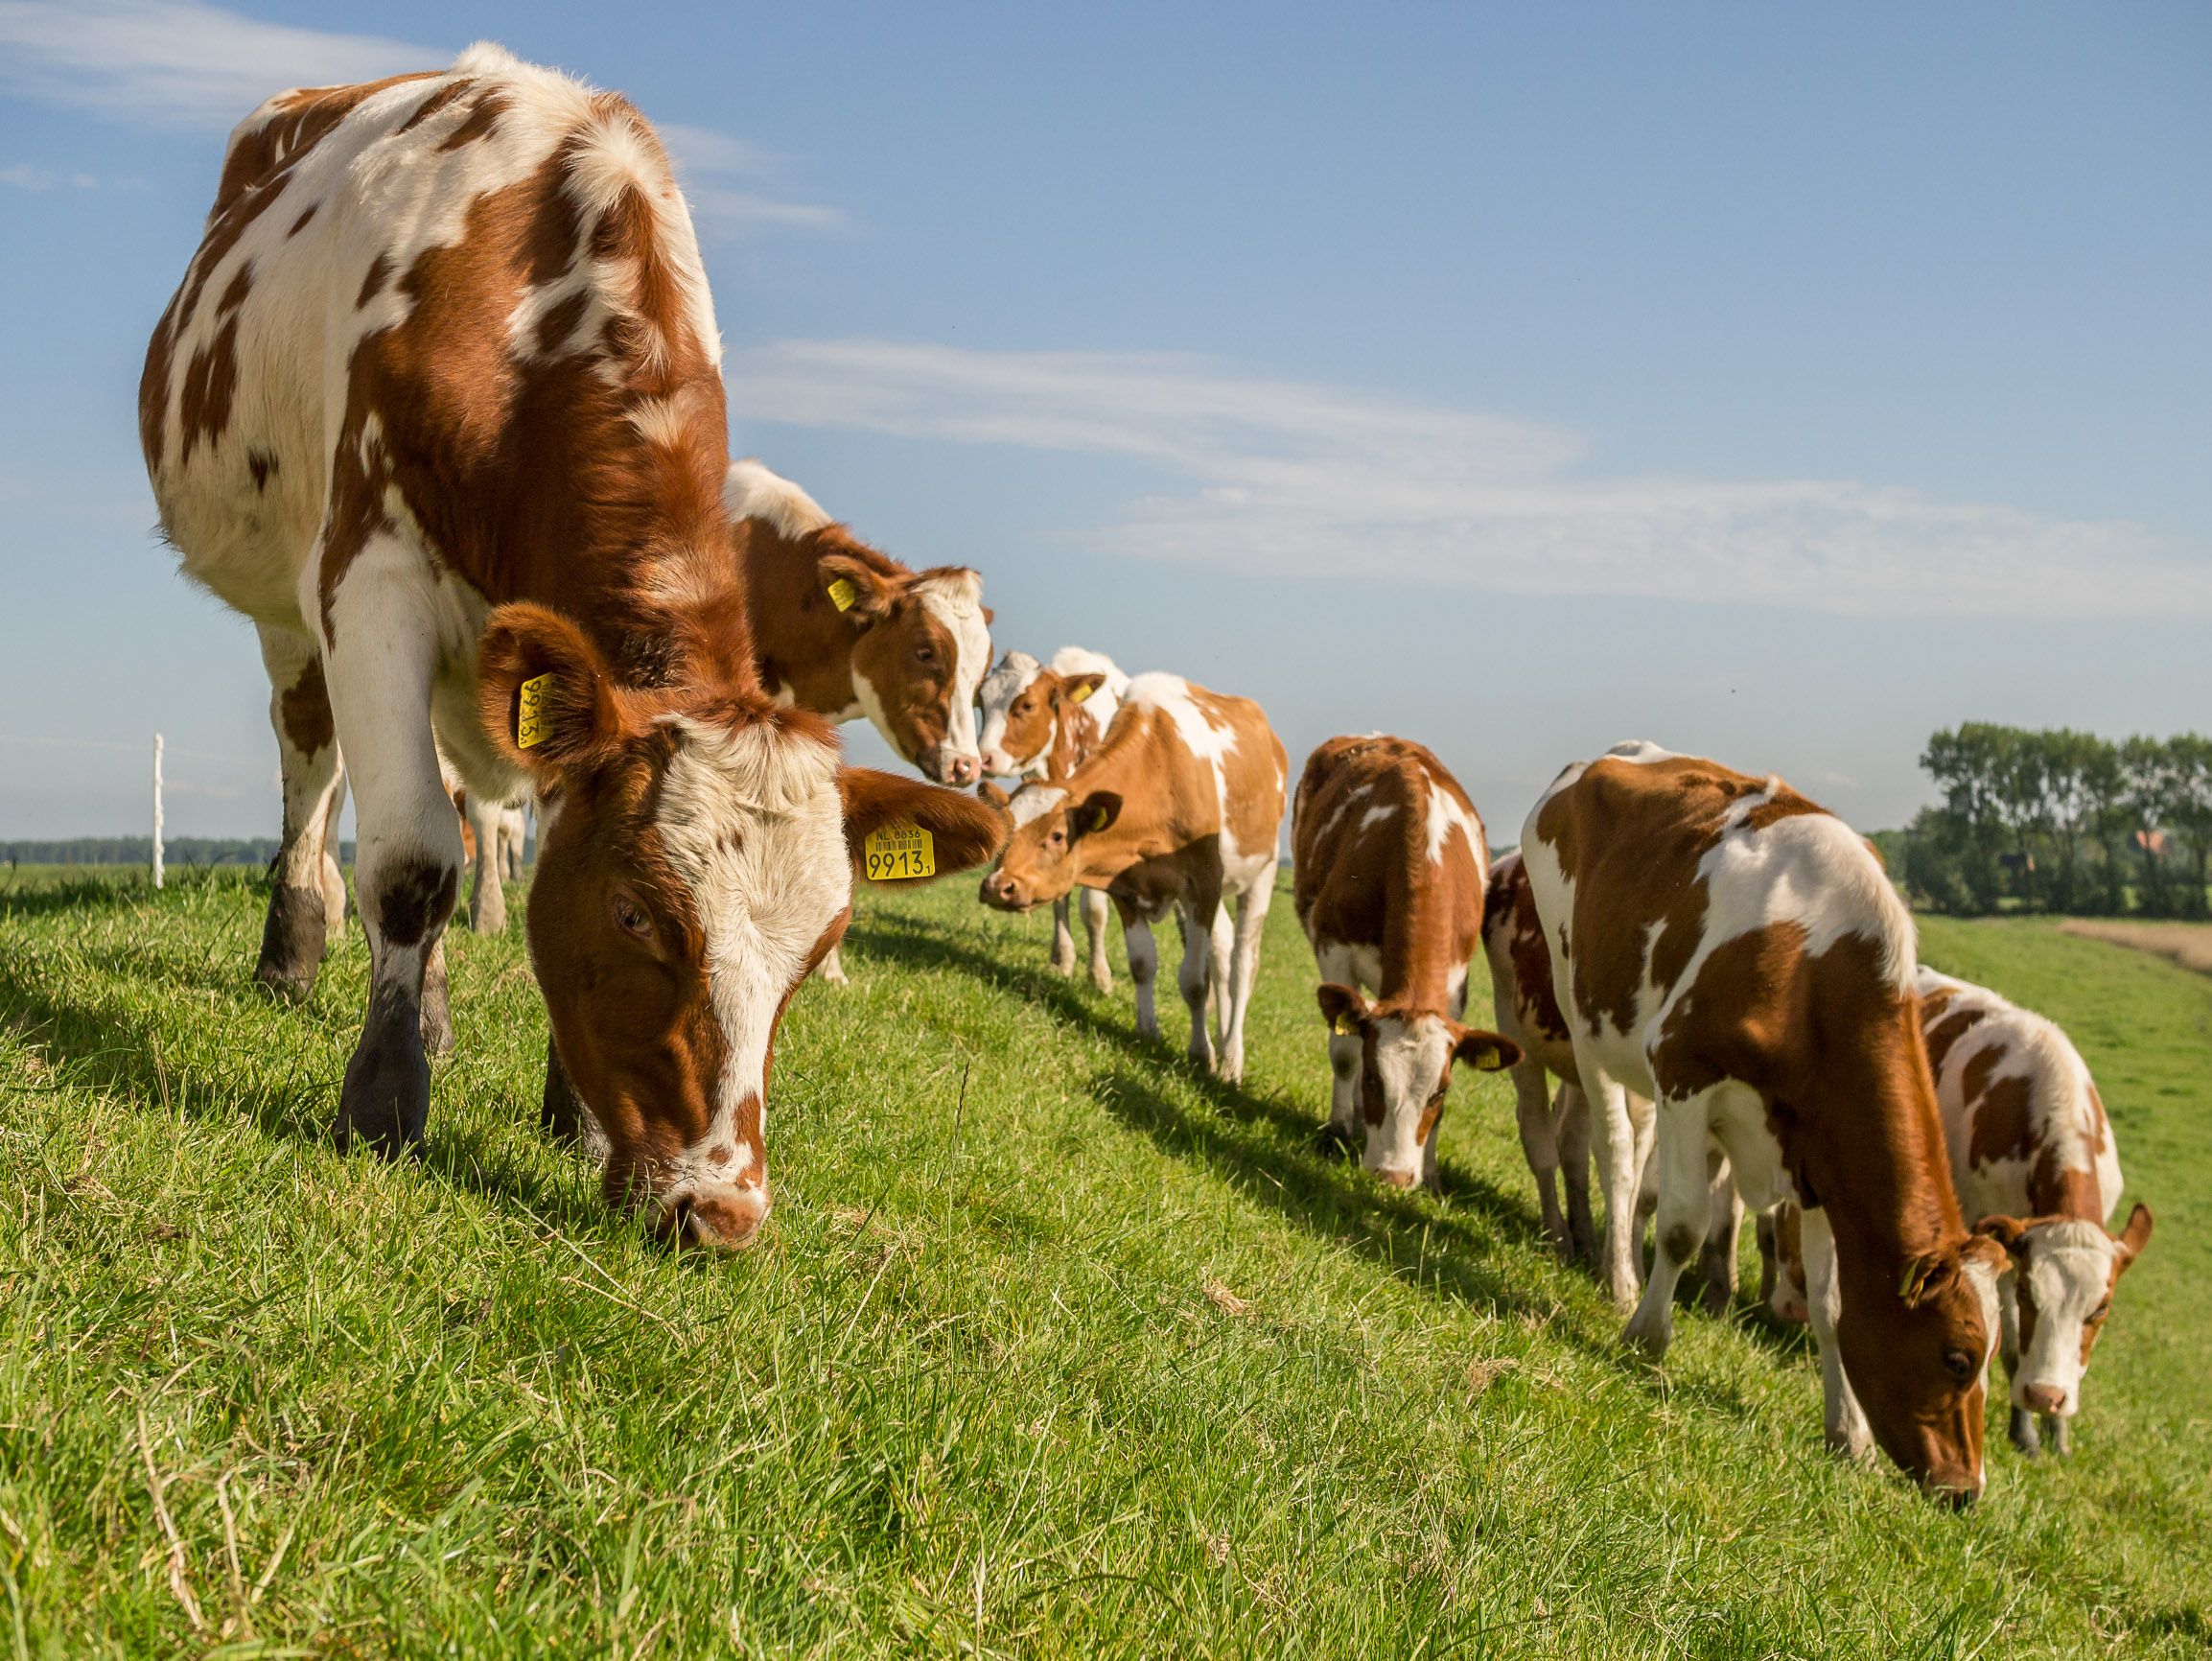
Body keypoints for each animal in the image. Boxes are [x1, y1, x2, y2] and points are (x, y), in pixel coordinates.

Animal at [139, 47, 1003, 1248]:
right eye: (639, 913)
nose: (722, 1209)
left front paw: (575, 1118)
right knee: (314, 760)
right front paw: (384, 1099)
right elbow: (413, 859)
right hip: (285, 588)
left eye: (819, 943)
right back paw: (296, 952)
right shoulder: (369, 576)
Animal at [975, 647, 1130, 989]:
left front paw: (1099, 975)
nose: (984, 758)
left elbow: (1094, 910)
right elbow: (1059, 897)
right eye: (981, 703)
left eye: (1027, 705)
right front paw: (1062, 959)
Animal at [1290, 735, 1520, 1190]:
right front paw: (1339, 1130)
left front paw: (1429, 1174)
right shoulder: (1334, 949)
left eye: (1439, 1092)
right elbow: (1346, 1051)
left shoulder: (1454, 987)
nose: (1393, 1177)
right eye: (1375, 1080)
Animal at [1521, 742, 2006, 1500]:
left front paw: (1849, 1434)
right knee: (1617, 1148)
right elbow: (1684, 1225)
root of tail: (1613, 755)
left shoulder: (1817, 1159)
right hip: (1583, 1011)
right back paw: (1620, 1277)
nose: (1964, 1489)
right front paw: (1647, 1337)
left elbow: (1831, 1302)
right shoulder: (1685, 1069)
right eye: (1957, 1356)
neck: (1815, 979)